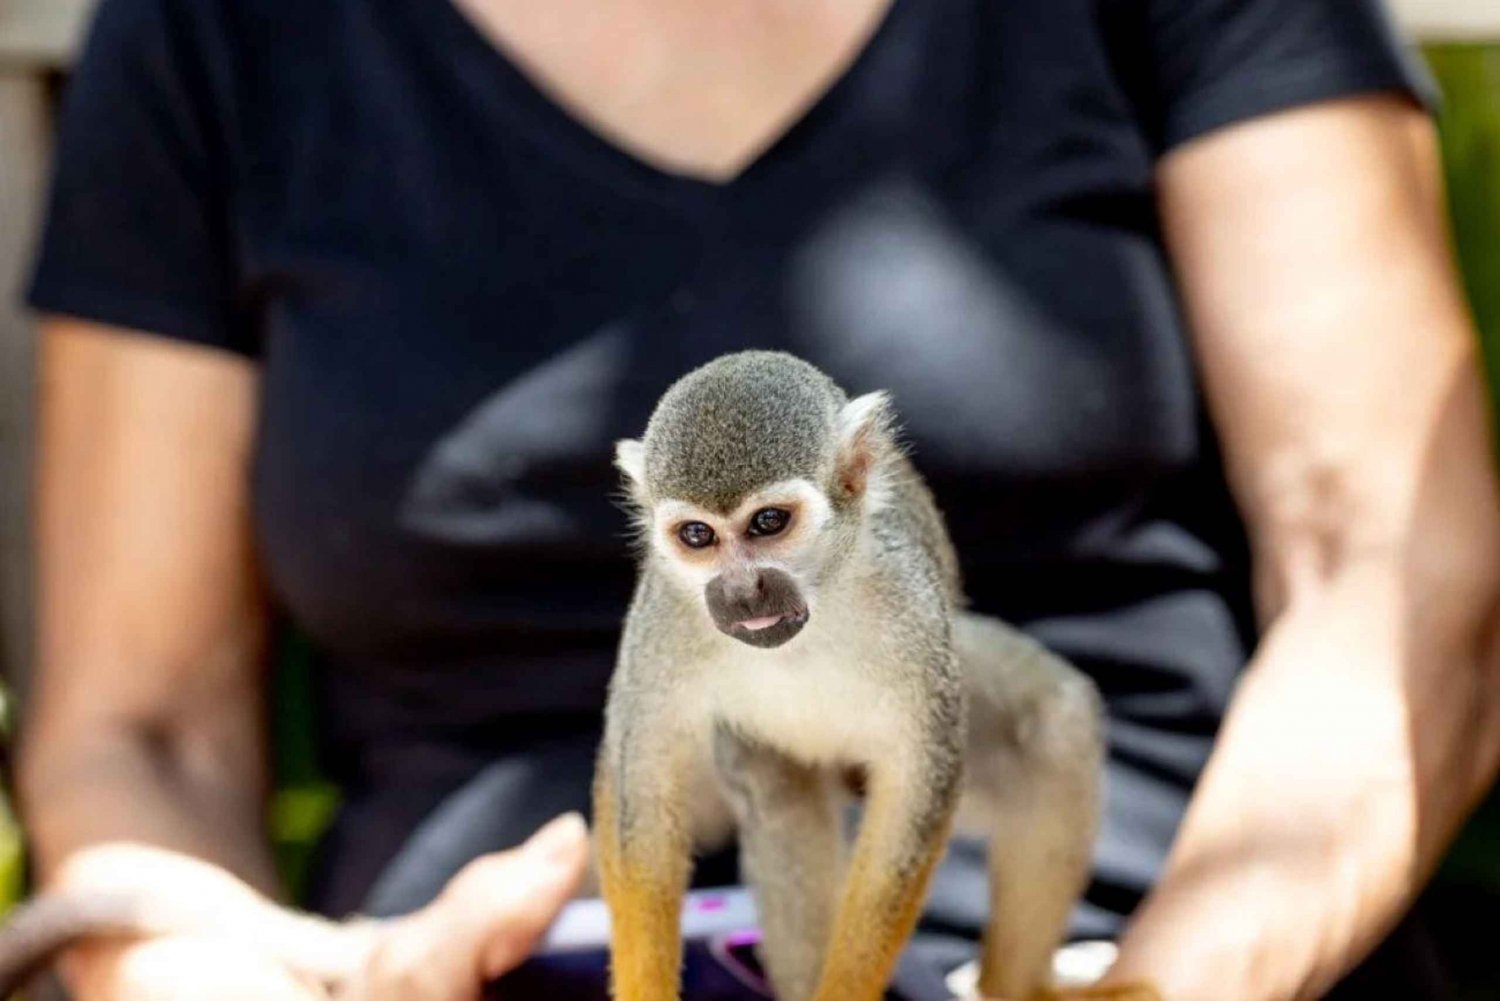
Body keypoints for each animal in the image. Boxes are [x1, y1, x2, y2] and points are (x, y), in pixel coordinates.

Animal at [597, 352, 1146, 1001]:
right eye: (697, 535)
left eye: (768, 522)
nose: (741, 590)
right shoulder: (663, 616)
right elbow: (643, 798)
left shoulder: (910, 603)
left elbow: (918, 790)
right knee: (783, 801)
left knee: (1055, 722)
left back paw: (1017, 987)